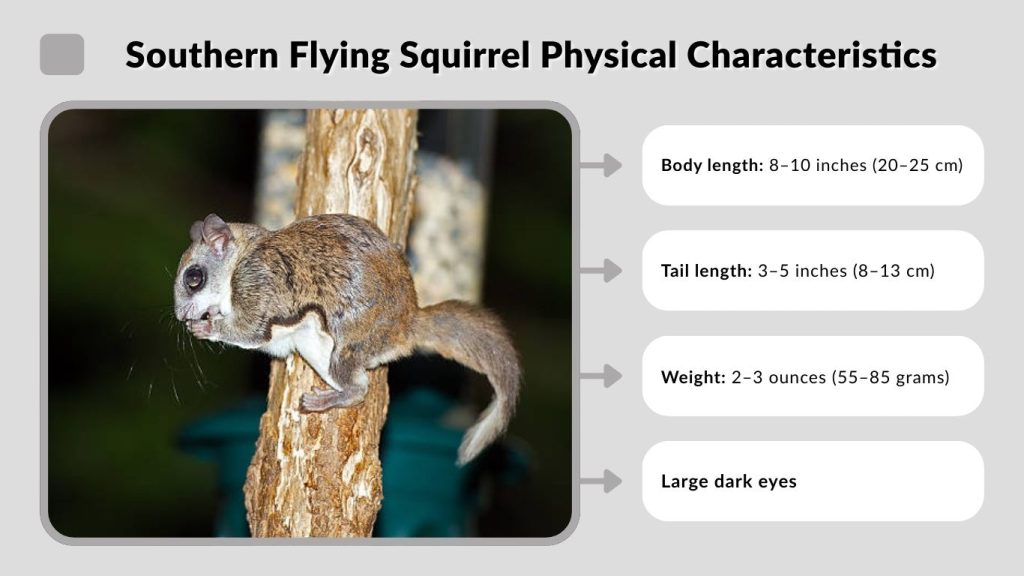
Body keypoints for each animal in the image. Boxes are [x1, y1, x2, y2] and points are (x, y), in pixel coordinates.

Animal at [173, 213, 521, 465]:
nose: (180, 317)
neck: (241, 258)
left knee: (359, 389)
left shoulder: (258, 284)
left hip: (347, 348)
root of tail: (408, 324)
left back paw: (327, 400)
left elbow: (250, 329)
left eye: (194, 278)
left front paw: (207, 328)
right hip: (315, 350)